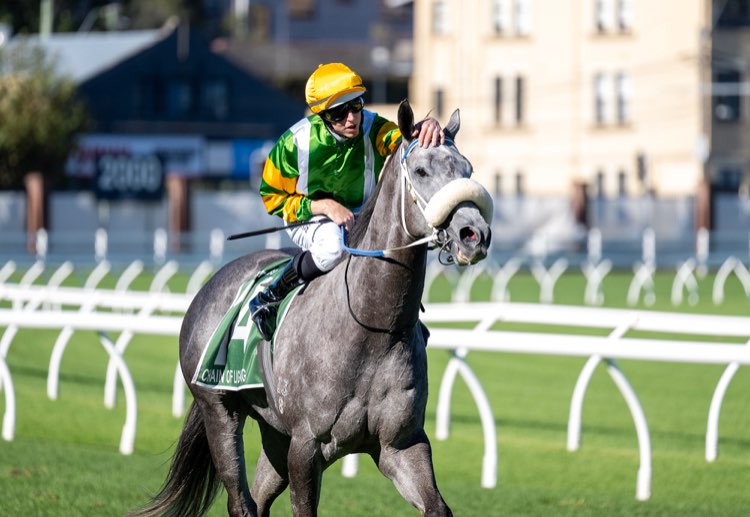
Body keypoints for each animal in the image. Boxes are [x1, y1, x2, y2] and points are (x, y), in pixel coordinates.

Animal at [132, 100, 493, 517]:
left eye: (467, 169)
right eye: (421, 171)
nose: (474, 234)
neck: (371, 327)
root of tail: (211, 284)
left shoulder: (401, 444)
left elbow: (437, 507)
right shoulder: (306, 445)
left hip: (274, 431)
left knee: (257, 499)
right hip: (219, 410)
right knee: (240, 502)